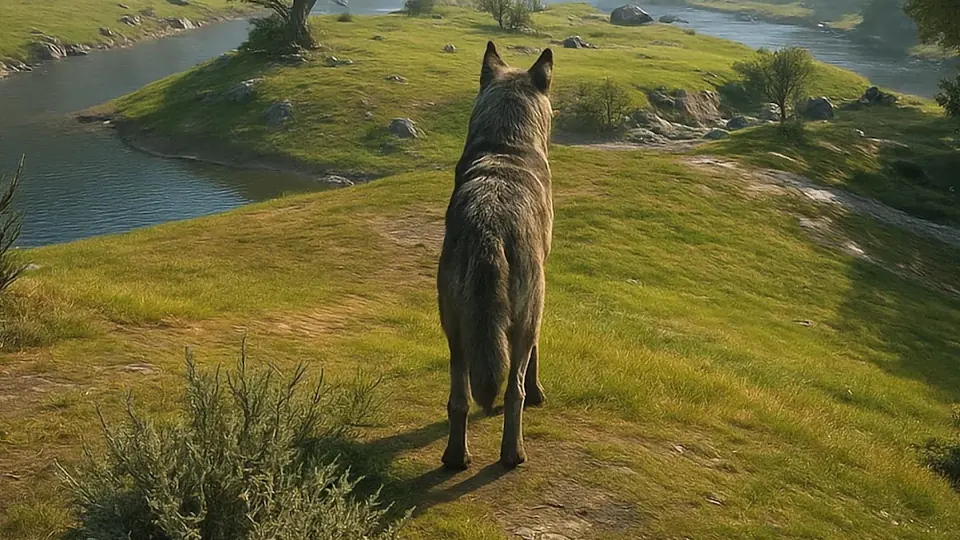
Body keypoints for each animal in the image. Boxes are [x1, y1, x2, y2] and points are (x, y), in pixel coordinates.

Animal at [437, 41, 554, 470]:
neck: (506, 144)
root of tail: (489, 225)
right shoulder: (536, 312)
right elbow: (534, 358)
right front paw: (538, 392)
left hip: (455, 328)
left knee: (459, 398)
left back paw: (456, 457)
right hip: (525, 315)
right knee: (513, 391)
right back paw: (513, 454)